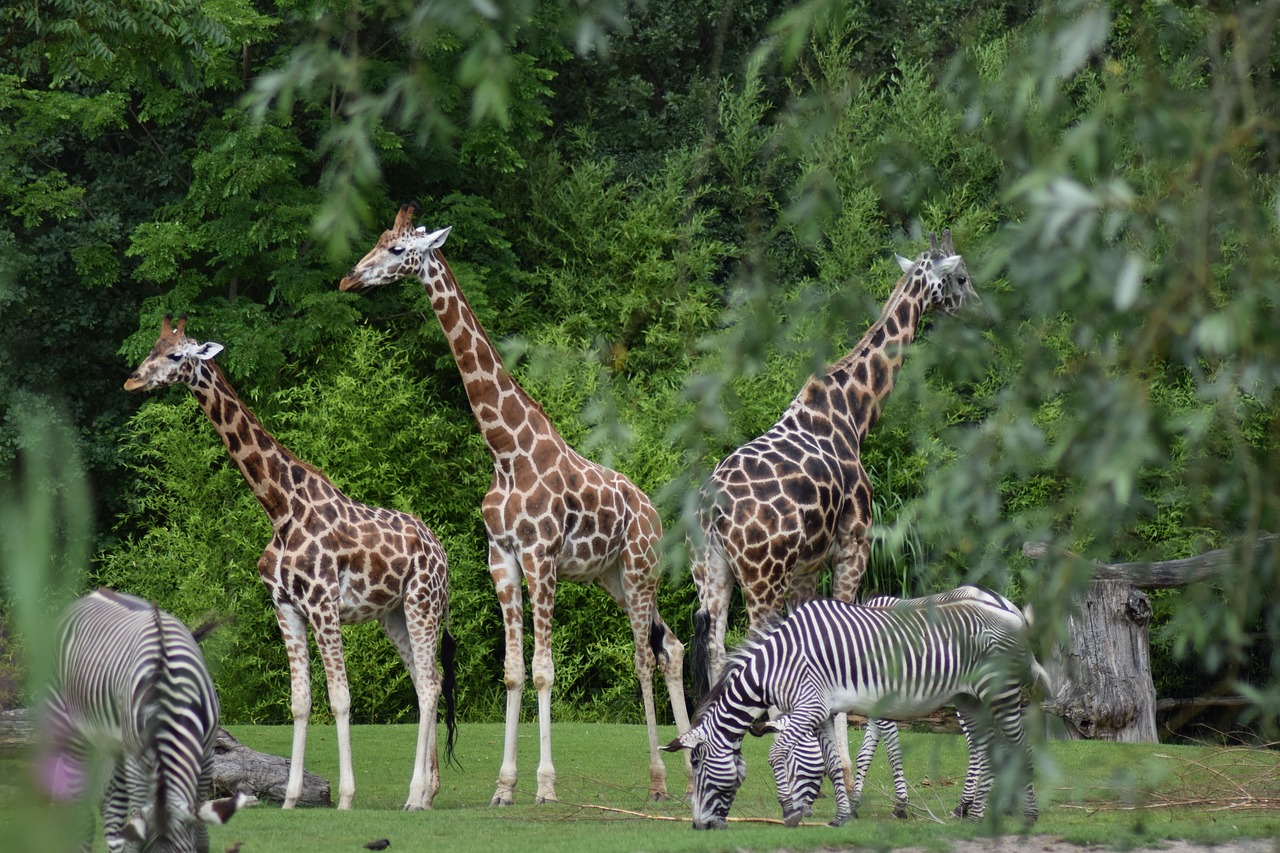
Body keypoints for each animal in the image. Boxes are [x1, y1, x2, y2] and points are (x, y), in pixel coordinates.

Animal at [36, 589, 244, 845]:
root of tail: (94, 593)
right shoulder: (136, 760)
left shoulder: (206, 756)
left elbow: (200, 832)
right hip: (71, 730)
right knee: (86, 815)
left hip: (114, 748)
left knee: (110, 814)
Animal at [120, 313, 460, 809]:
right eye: (151, 348)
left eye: (176, 354)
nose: (132, 380)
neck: (280, 509)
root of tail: (440, 550)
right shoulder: (285, 607)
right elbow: (300, 702)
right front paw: (290, 797)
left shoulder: (323, 604)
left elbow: (340, 697)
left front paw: (345, 797)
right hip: (393, 614)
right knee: (424, 680)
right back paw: (429, 791)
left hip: (422, 602)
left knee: (431, 685)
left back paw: (416, 795)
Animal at [340, 204, 691, 804]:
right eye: (378, 240)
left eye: (396, 250)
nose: (350, 278)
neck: (506, 450)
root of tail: (651, 511)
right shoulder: (501, 559)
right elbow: (512, 671)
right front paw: (505, 787)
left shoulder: (540, 557)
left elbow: (546, 668)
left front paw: (545, 786)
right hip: (611, 577)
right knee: (671, 646)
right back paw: (691, 772)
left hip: (640, 568)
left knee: (646, 657)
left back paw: (659, 780)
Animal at [660, 591, 1049, 824]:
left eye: (699, 765)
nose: (698, 826)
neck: (778, 663)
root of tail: (1012, 614)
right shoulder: (822, 713)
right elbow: (833, 763)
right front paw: (843, 815)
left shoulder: (811, 708)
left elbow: (777, 752)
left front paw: (789, 809)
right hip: (969, 699)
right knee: (988, 748)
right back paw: (978, 812)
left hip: (999, 693)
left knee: (1020, 747)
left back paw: (1027, 815)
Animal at [691, 227, 967, 783]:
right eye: (963, 277)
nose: (976, 307)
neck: (854, 413)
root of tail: (713, 512)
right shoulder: (852, 545)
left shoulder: (807, 566)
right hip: (761, 575)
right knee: (751, 645)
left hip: (713, 570)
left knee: (714, 644)